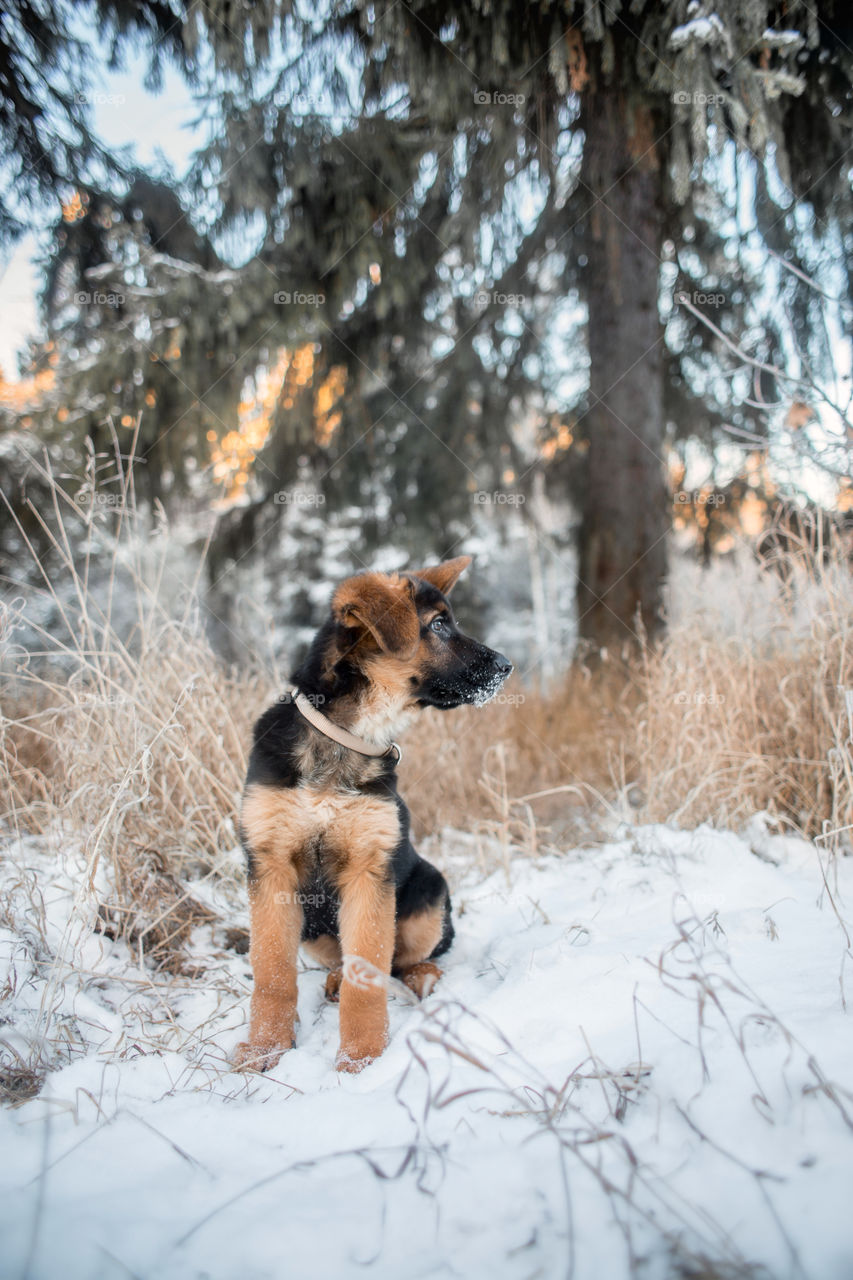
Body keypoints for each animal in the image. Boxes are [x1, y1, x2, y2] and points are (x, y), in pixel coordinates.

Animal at [233, 558, 507, 1070]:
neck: (346, 737)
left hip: (430, 894)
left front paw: (361, 1060)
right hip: (312, 927)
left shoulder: (369, 871)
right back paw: (334, 980)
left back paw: (421, 979)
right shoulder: (271, 867)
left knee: (407, 961)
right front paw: (264, 1049)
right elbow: (272, 972)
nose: (507, 666)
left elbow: (369, 973)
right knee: (344, 959)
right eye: (437, 625)